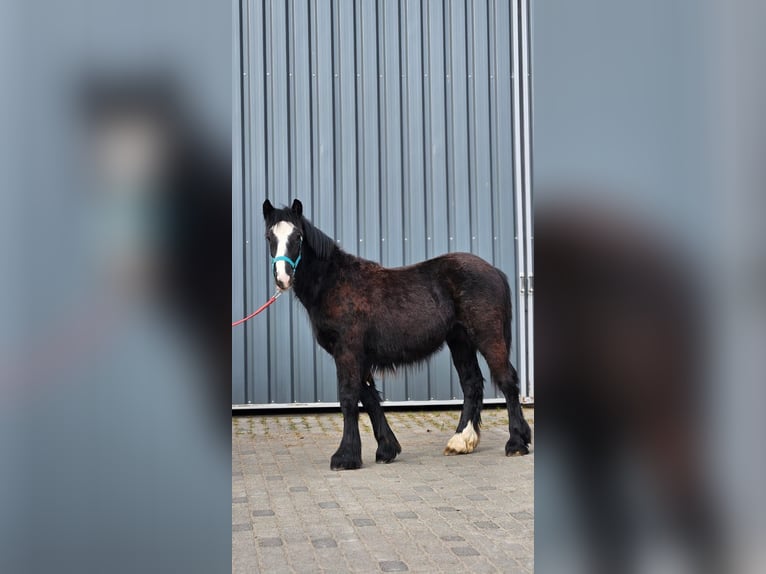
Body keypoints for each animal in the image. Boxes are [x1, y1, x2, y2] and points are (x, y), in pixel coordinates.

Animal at [263, 198, 531, 470]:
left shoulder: (347, 353)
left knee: (507, 381)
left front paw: (345, 457)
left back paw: (516, 443)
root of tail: (494, 271)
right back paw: (461, 441)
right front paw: (386, 449)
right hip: (460, 341)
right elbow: (369, 398)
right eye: (269, 237)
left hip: (488, 337)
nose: (283, 278)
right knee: (471, 383)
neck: (334, 282)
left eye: (298, 236)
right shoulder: (358, 357)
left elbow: (349, 398)